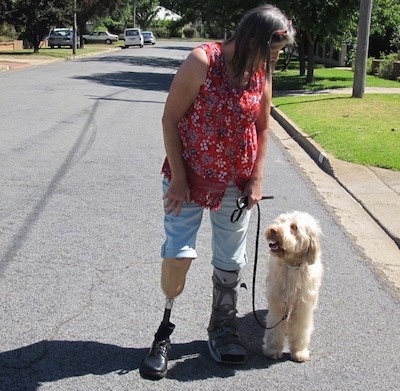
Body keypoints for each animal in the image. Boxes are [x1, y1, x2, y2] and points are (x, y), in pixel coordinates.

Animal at [264, 213, 324, 362]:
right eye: (281, 221)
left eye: (294, 227)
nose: (274, 230)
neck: (291, 266)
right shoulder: (278, 302)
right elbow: (275, 327)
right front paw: (273, 349)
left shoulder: (303, 305)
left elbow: (300, 328)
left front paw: (299, 351)